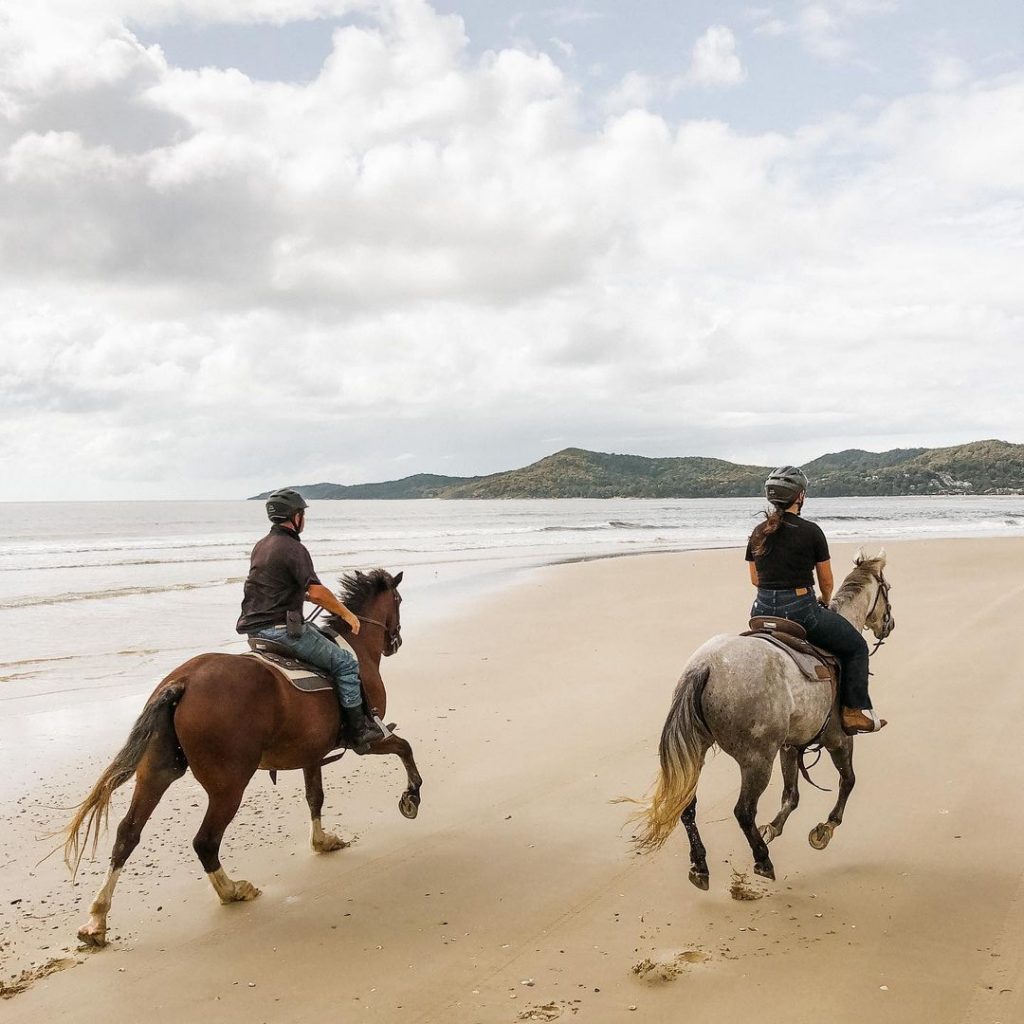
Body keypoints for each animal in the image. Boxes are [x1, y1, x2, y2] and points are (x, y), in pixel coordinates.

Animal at [64, 569, 417, 942]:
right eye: (398, 600)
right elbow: (404, 748)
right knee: (205, 841)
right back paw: (231, 890)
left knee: (127, 834)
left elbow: (315, 797)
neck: (357, 648)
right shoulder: (371, 739)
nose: (395, 642)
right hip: (228, 786)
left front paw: (322, 841)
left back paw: (97, 918)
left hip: (157, 772)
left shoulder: (311, 753)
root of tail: (183, 682)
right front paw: (411, 797)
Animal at [630, 552, 897, 888]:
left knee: (687, 806)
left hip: (702, 749)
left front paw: (774, 828)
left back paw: (700, 865)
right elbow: (847, 781)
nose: (889, 624)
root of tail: (706, 665)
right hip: (757, 760)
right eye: (888, 589)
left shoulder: (790, 747)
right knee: (743, 811)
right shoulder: (838, 738)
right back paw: (762, 860)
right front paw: (825, 829)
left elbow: (791, 796)